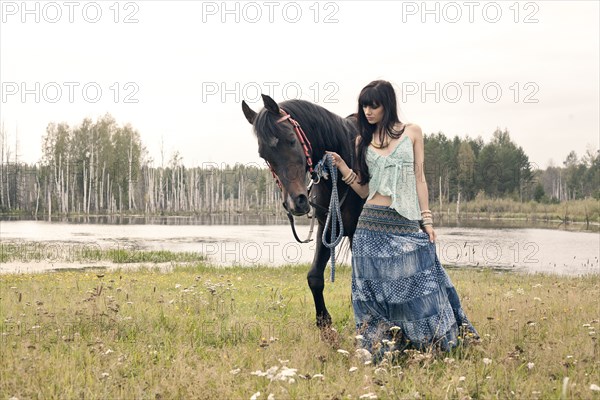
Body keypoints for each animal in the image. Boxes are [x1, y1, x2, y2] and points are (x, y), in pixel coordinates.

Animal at [240, 95, 364, 330]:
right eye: (263, 154)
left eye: (291, 140)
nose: (295, 202)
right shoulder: (327, 229)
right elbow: (314, 277)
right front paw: (325, 325)